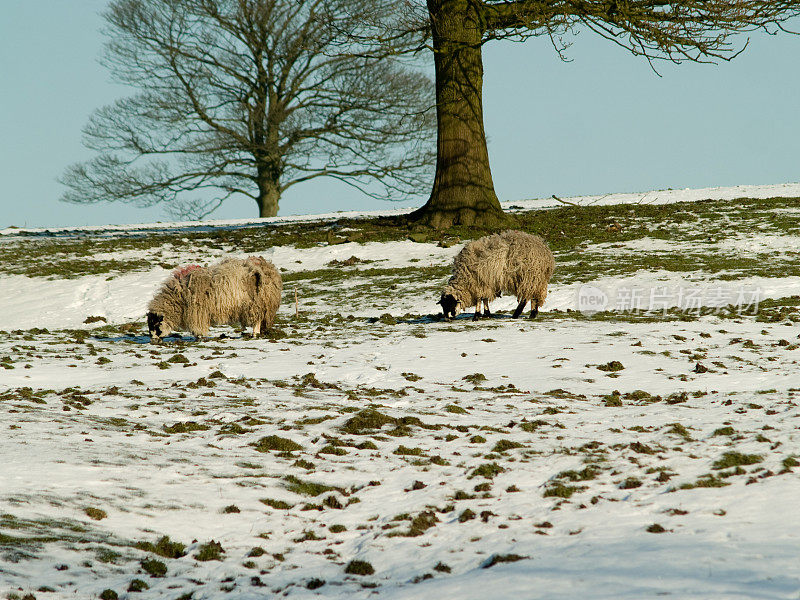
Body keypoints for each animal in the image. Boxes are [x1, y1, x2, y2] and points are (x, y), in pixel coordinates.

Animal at [148, 256, 282, 342]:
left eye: (156, 323)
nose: (153, 340)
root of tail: (268, 267)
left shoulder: (197, 312)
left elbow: (197, 328)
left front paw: (199, 337)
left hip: (256, 303)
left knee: (257, 320)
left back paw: (254, 334)